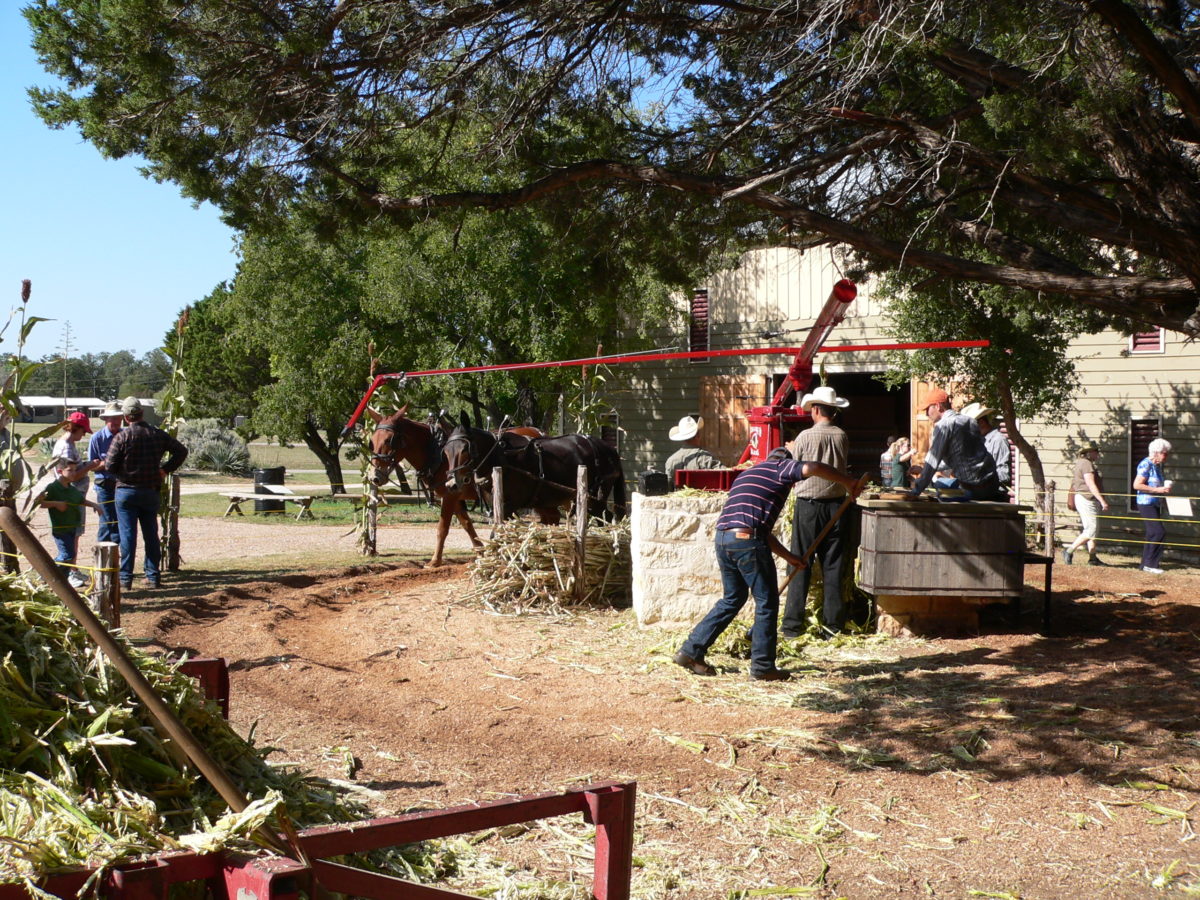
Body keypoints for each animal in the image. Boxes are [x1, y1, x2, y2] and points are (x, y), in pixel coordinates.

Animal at [441, 412, 628, 525]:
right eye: (446, 451)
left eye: (465, 450)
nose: (451, 484)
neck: (502, 457)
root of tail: (607, 449)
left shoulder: (509, 505)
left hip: (596, 495)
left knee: (606, 517)